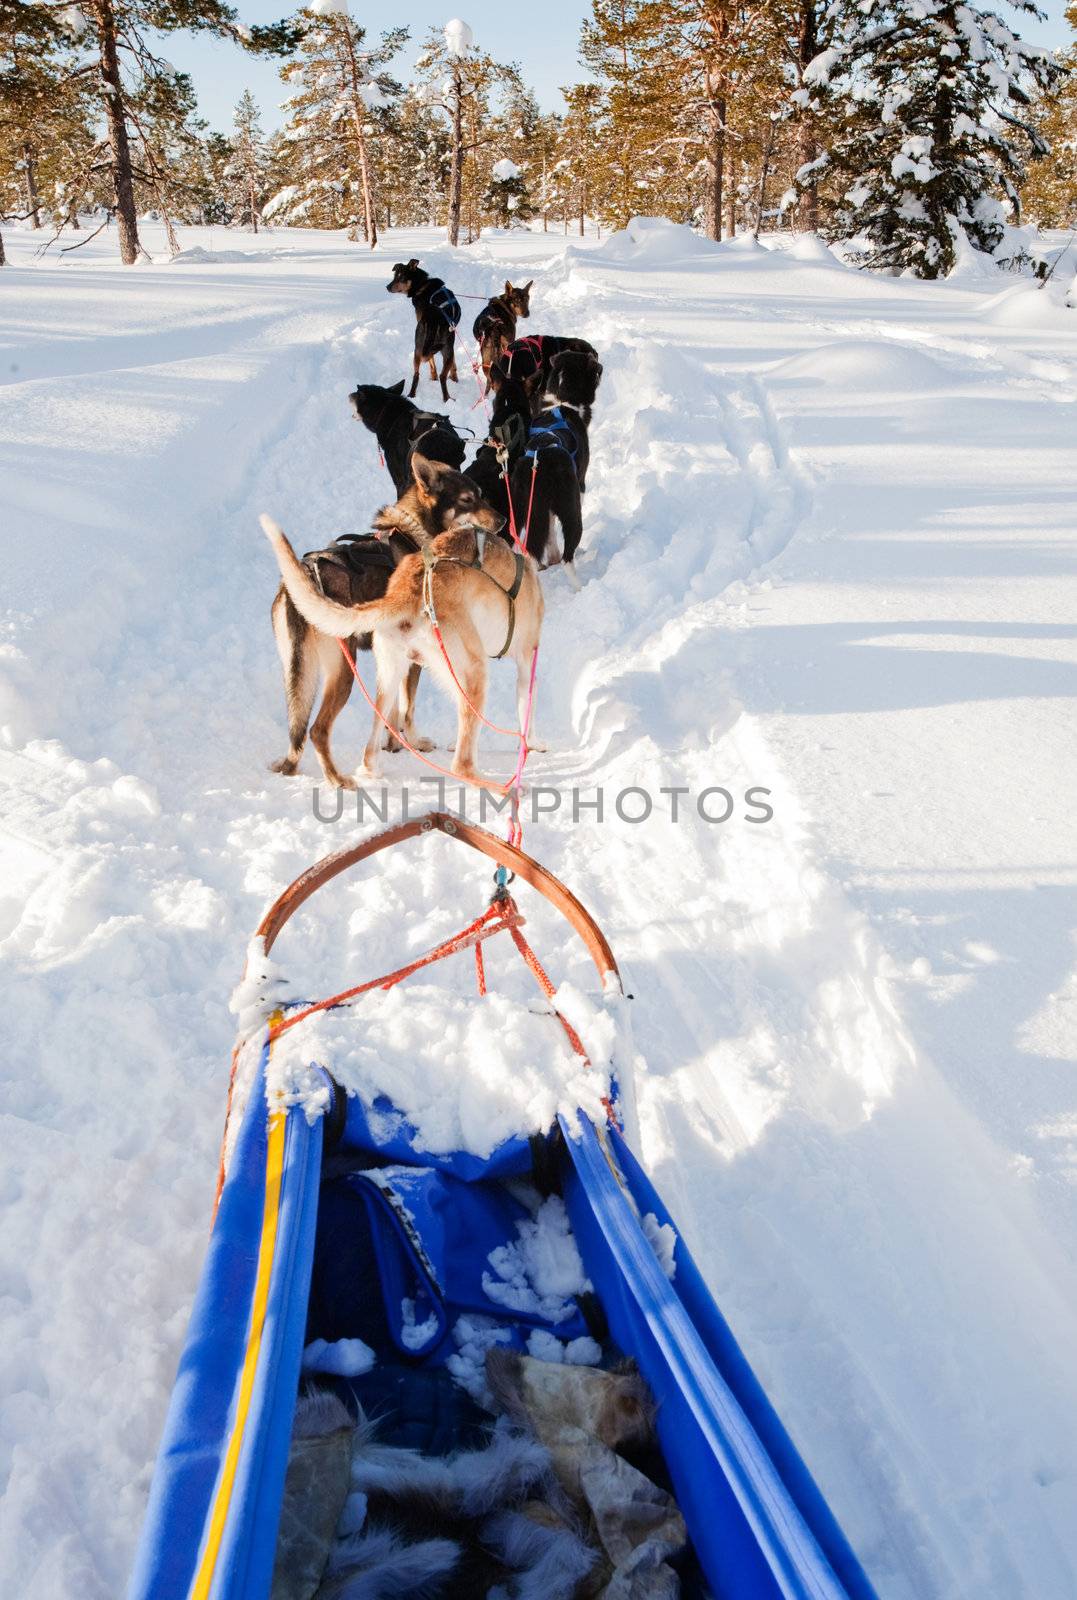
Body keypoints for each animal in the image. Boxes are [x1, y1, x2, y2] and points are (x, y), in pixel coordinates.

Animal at [260, 457, 547, 787]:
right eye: (467, 499)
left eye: (482, 494)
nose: (500, 520)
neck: (412, 532)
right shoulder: (521, 660)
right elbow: (410, 708)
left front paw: (396, 742)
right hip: (358, 671)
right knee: (320, 730)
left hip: (306, 674)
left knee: (305, 735)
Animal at [388, 259, 460, 403]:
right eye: (394, 276)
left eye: (401, 277)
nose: (387, 287)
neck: (422, 286)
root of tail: (433, 318)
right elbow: (438, 362)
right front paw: (450, 378)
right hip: (443, 347)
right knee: (441, 376)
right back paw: (447, 399)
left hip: (418, 348)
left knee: (416, 374)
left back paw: (412, 395)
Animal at [508, 350, 601, 582]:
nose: (601, 365)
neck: (561, 402)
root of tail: (539, 460)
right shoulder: (580, 486)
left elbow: (549, 533)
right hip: (571, 510)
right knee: (568, 558)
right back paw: (579, 586)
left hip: (520, 511)